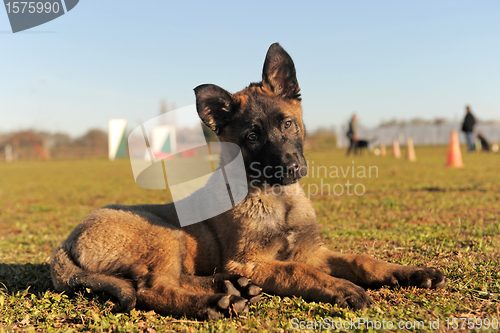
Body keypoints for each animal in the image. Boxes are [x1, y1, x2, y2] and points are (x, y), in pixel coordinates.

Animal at [51, 42, 446, 318]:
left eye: (287, 123)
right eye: (252, 137)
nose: (291, 167)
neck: (278, 200)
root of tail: (64, 244)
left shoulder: (313, 251)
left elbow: (363, 261)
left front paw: (412, 272)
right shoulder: (252, 261)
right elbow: (300, 271)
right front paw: (342, 288)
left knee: (178, 278)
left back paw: (231, 289)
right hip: (165, 235)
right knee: (154, 288)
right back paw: (212, 303)